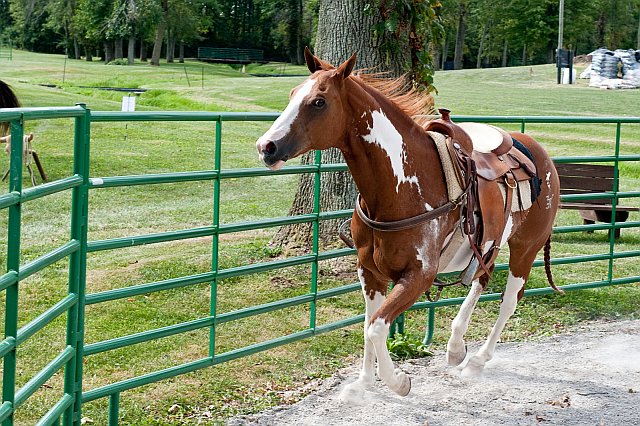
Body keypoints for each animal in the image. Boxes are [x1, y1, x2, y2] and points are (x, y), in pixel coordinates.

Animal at [255, 50, 560, 400]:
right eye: (293, 94)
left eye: (319, 101)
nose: (266, 146)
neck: (402, 185)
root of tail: (540, 154)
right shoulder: (369, 271)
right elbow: (368, 323)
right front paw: (362, 384)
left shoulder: (418, 276)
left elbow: (376, 327)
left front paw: (397, 382)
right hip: (488, 245)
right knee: (482, 279)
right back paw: (456, 348)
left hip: (525, 247)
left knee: (509, 301)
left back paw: (477, 361)